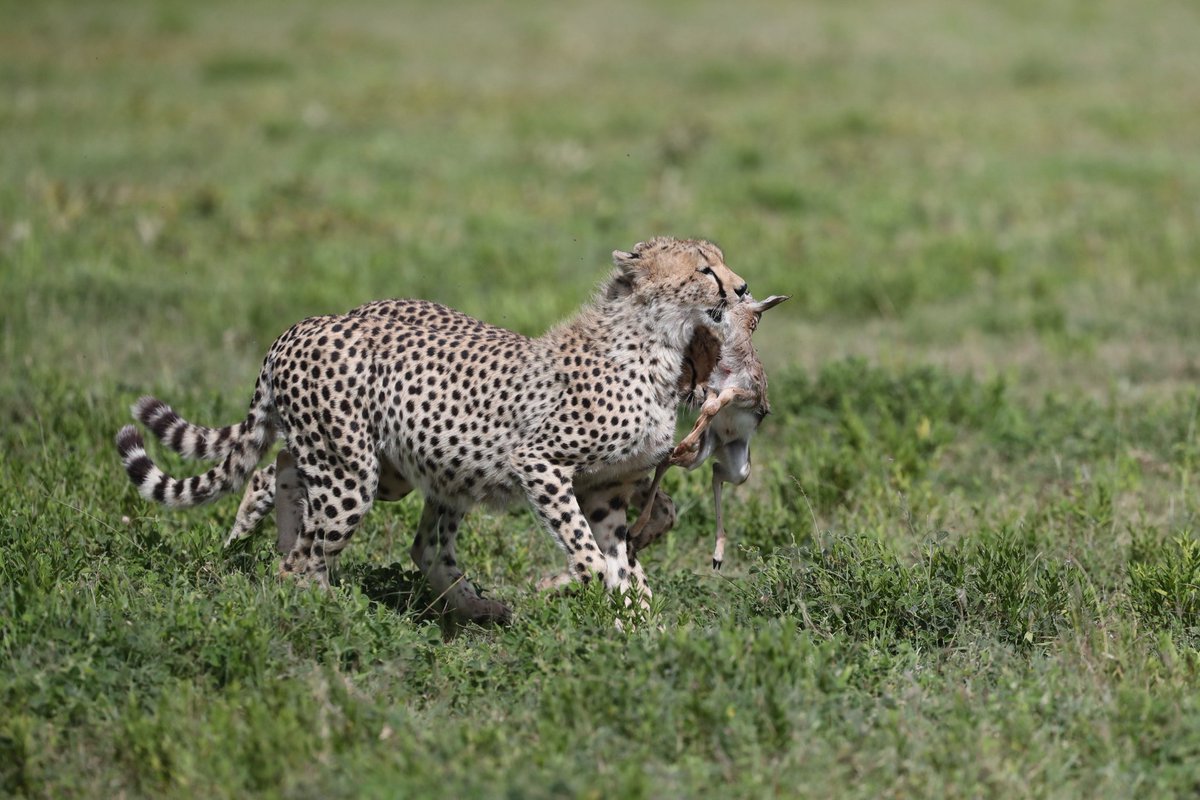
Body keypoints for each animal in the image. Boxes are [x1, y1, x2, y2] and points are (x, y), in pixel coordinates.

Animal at [117, 237, 744, 623]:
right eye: (704, 269)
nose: (740, 289)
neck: (657, 343)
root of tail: (307, 324)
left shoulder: (606, 490)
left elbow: (625, 556)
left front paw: (641, 623)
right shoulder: (540, 463)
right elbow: (591, 555)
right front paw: (590, 592)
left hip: (406, 468)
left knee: (302, 485)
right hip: (354, 475)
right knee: (301, 558)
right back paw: (319, 609)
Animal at [628, 293, 787, 568]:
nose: (740, 291)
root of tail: (722, 445)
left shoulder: (748, 395)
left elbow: (720, 401)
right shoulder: (711, 388)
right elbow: (711, 406)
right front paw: (686, 439)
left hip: (740, 471)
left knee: (714, 472)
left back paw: (718, 555)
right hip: (704, 456)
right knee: (679, 464)